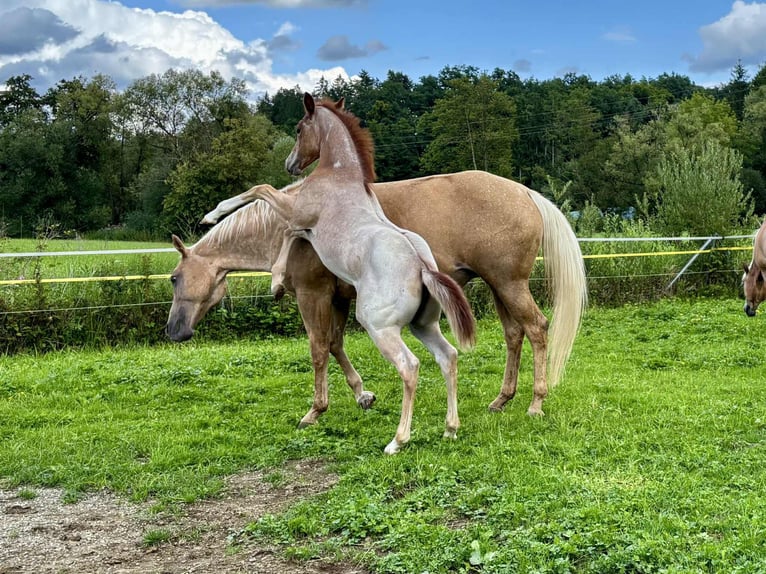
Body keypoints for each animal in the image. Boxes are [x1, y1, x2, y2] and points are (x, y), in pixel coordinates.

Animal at [171, 93, 477, 455]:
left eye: (298, 128)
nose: (174, 331)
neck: (339, 176)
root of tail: (421, 266)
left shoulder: (304, 255)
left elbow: (261, 190)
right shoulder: (310, 246)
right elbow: (331, 339)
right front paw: (362, 396)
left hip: (379, 326)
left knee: (410, 366)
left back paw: (397, 441)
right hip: (423, 325)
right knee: (448, 357)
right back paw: (450, 428)